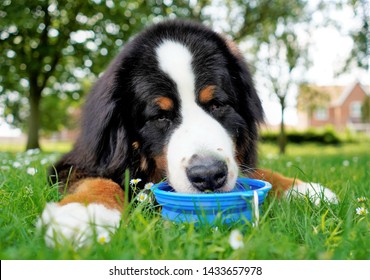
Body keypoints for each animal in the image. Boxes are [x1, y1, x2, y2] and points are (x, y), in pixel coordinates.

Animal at [38, 19, 338, 247]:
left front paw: (302, 189)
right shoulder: (74, 164)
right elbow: (99, 181)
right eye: (160, 116)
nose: (209, 175)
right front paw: (85, 213)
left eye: (216, 104)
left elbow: (259, 173)